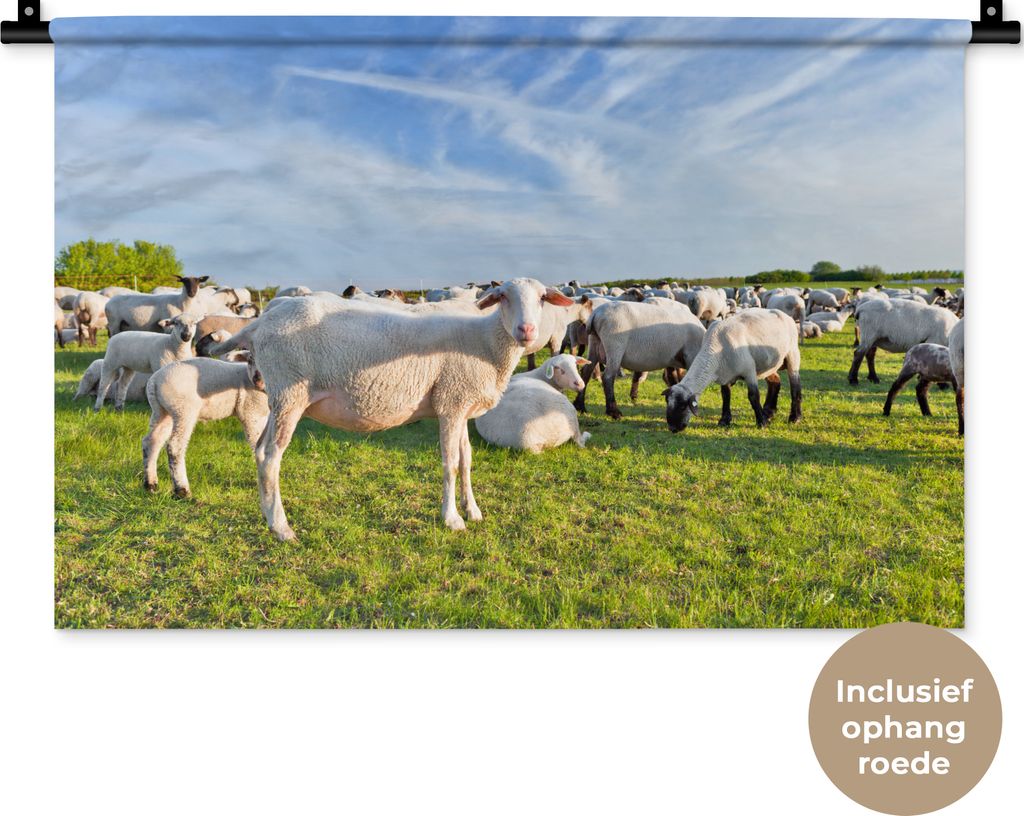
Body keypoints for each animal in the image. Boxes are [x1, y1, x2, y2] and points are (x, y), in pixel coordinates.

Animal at [142, 356, 269, 498]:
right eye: (251, 360)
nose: (257, 380)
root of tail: (155, 381)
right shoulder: (251, 412)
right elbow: (259, 446)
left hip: (162, 411)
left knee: (151, 441)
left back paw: (150, 484)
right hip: (184, 409)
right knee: (175, 446)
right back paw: (182, 491)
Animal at [204, 278, 575, 538]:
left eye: (541, 299)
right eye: (505, 298)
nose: (526, 330)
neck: (484, 341)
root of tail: (261, 322)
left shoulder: (461, 403)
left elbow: (467, 460)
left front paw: (472, 510)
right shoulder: (451, 401)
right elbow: (451, 464)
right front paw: (452, 519)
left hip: (279, 397)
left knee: (259, 450)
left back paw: (267, 514)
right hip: (290, 392)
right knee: (271, 457)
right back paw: (281, 528)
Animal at [575, 298, 706, 418]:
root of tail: (596, 314)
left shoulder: (672, 359)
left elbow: (672, 379)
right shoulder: (690, 355)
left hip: (594, 343)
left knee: (586, 372)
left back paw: (580, 406)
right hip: (615, 346)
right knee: (608, 377)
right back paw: (614, 412)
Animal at [662, 309, 802, 431]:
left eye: (682, 406)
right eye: (667, 403)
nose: (673, 428)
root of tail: (786, 315)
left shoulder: (749, 370)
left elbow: (753, 396)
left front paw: (761, 422)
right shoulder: (726, 374)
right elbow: (725, 395)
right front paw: (724, 420)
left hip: (792, 355)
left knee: (795, 388)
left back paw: (795, 417)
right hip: (769, 365)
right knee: (775, 382)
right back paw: (769, 411)